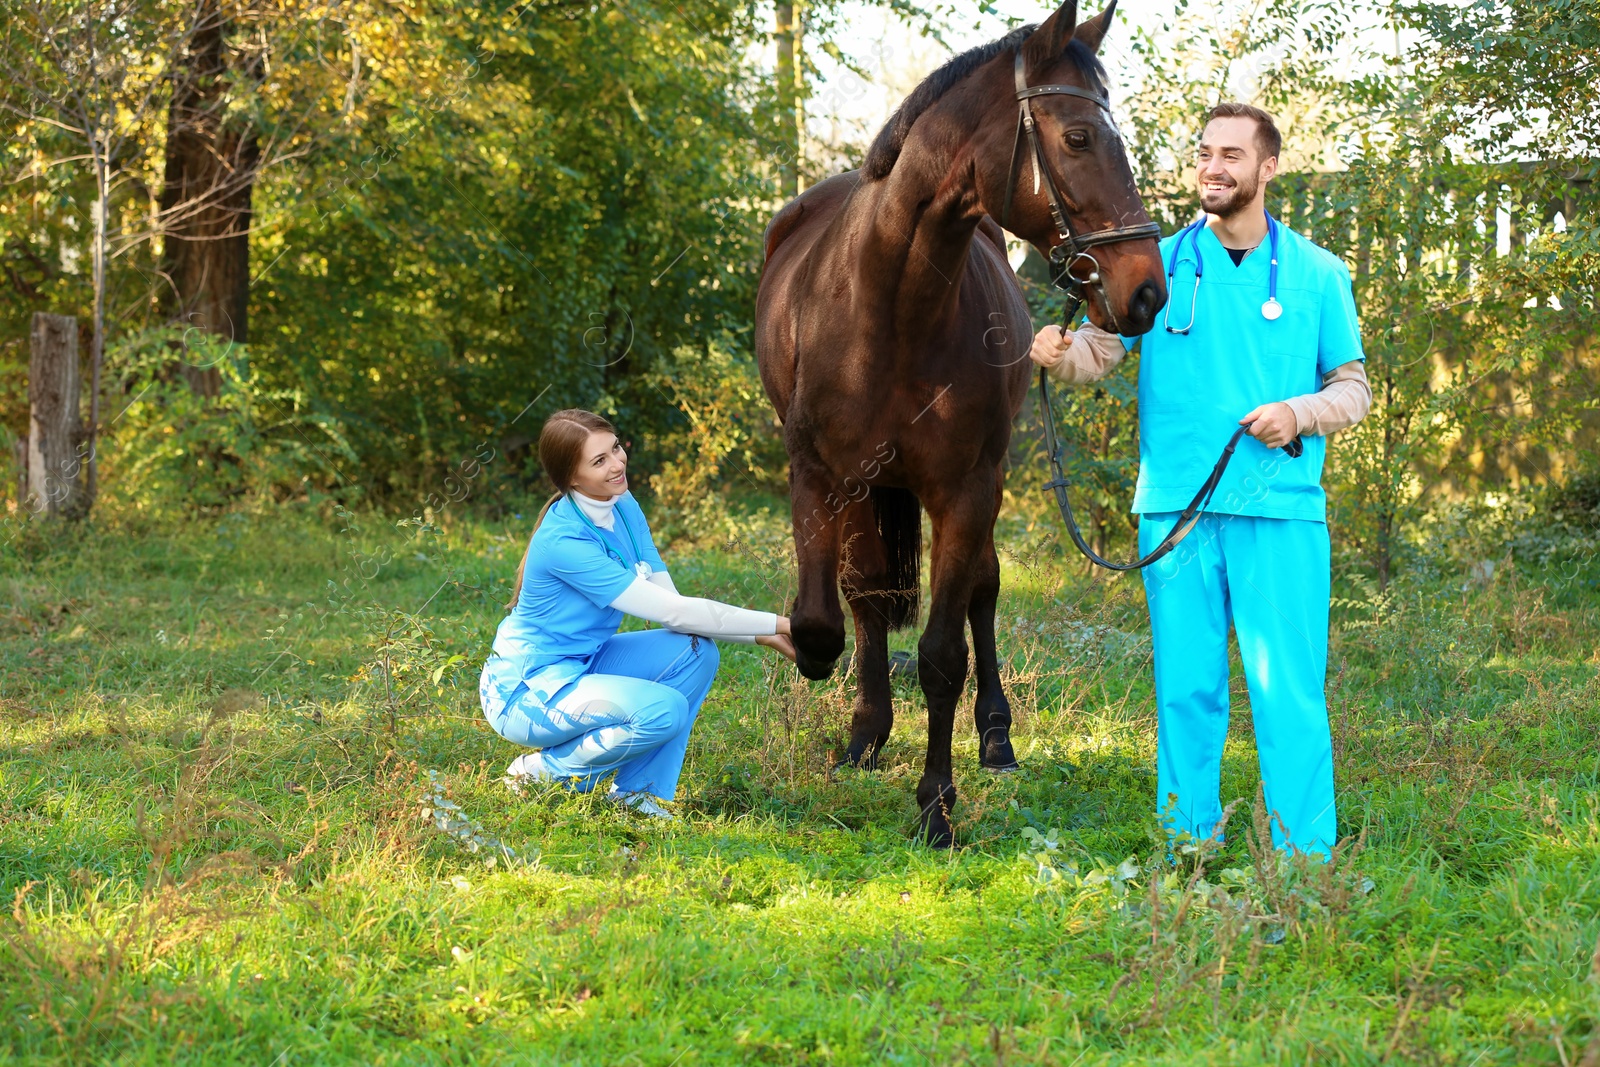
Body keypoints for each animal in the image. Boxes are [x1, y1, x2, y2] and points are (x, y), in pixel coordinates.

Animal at [755, 2, 1171, 851]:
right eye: (1079, 138)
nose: (1147, 291)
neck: (889, 310)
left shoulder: (965, 490)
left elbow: (944, 650)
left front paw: (935, 806)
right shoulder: (820, 476)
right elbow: (828, 619)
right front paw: (859, 723)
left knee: (983, 586)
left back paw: (996, 734)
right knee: (868, 595)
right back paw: (867, 733)